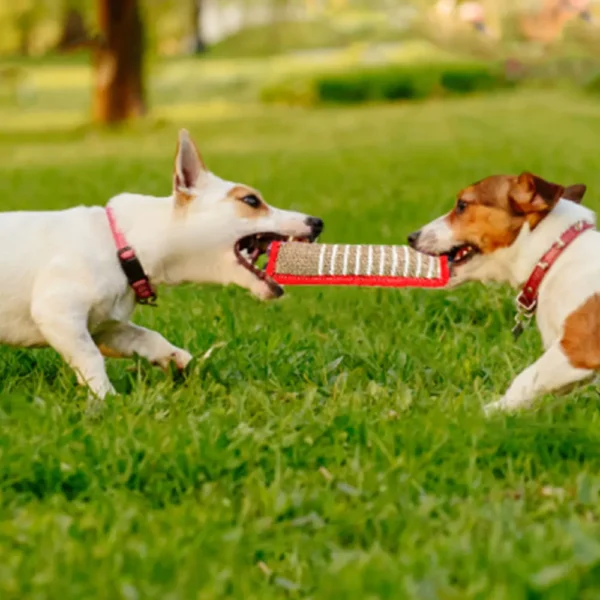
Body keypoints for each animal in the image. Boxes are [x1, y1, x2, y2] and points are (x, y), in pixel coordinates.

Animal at [406, 172, 596, 412]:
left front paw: (489, 411)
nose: (411, 237)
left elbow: (524, 379)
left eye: (462, 205)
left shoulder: (577, 350)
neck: (552, 256)